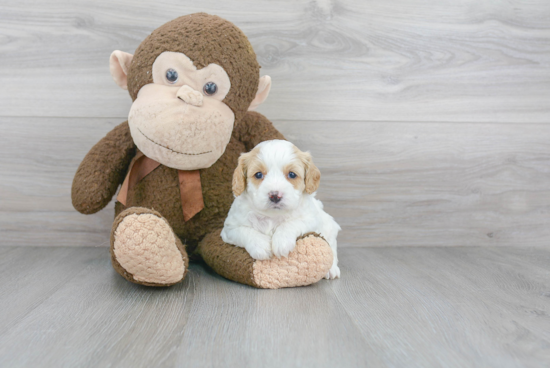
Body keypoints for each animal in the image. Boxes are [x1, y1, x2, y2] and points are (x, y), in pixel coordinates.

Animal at [220, 140, 340, 278]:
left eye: (292, 174)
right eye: (258, 174)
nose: (275, 195)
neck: (272, 216)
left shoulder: (311, 218)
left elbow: (292, 223)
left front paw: (282, 241)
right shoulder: (230, 228)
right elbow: (245, 231)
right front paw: (261, 245)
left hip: (329, 225)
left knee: (331, 245)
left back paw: (331, 269)